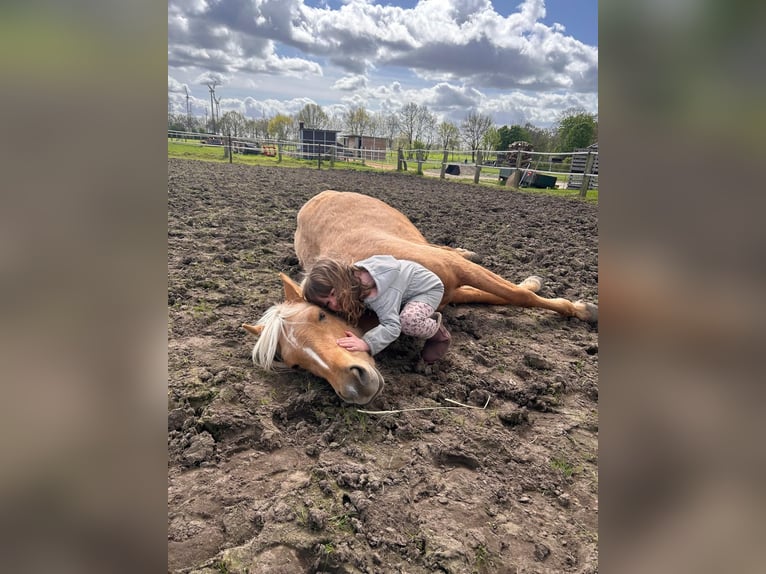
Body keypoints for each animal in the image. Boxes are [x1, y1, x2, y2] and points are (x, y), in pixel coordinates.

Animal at [246, 191, 600, 408]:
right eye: (295, 364)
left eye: (321, 316)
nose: (356, 388)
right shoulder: (448, 293)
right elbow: (500, 296)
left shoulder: (452, 272)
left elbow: (518, 294)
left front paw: (582, 309)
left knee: (446, 248)